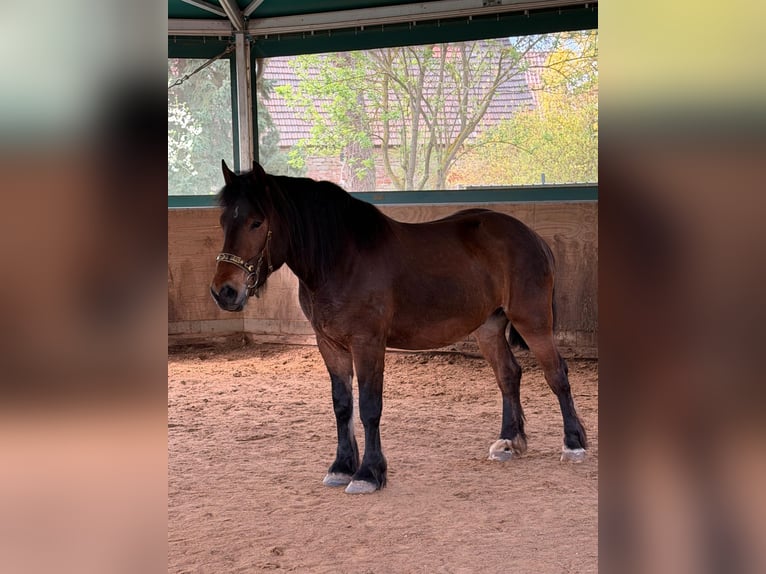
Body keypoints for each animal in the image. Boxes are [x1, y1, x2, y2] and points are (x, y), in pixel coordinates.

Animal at [210, 161, 587, 494]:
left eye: (257, 222)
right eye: (224, 221)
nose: (224, 291)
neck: (340, 258)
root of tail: (531, 236)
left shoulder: (368, 343)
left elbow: (369, 406)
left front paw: (368, 473)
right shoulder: (329, 344)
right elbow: (342, 405)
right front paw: (341, 467)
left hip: (533, 320)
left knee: (557, 373)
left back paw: (573, 444)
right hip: (489, 327)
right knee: (508, 375)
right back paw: (509, 441)